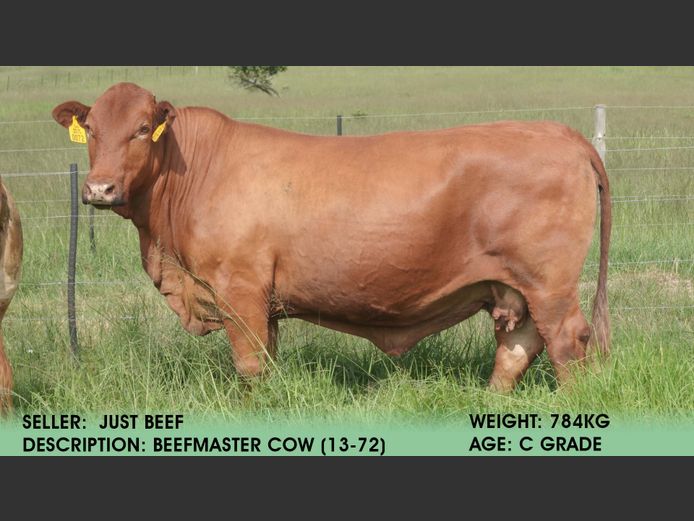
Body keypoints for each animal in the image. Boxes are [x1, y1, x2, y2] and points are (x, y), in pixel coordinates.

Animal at [52, 82, 611, 392]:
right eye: (92, 129)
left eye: (141, 128)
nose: (99, 188)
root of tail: (561, 132)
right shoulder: (263, 300)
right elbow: (268, 360)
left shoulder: (239, 289)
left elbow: (250, 365)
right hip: (515, 287)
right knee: (517, 347)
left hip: (550, 284)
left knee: (566, 342)